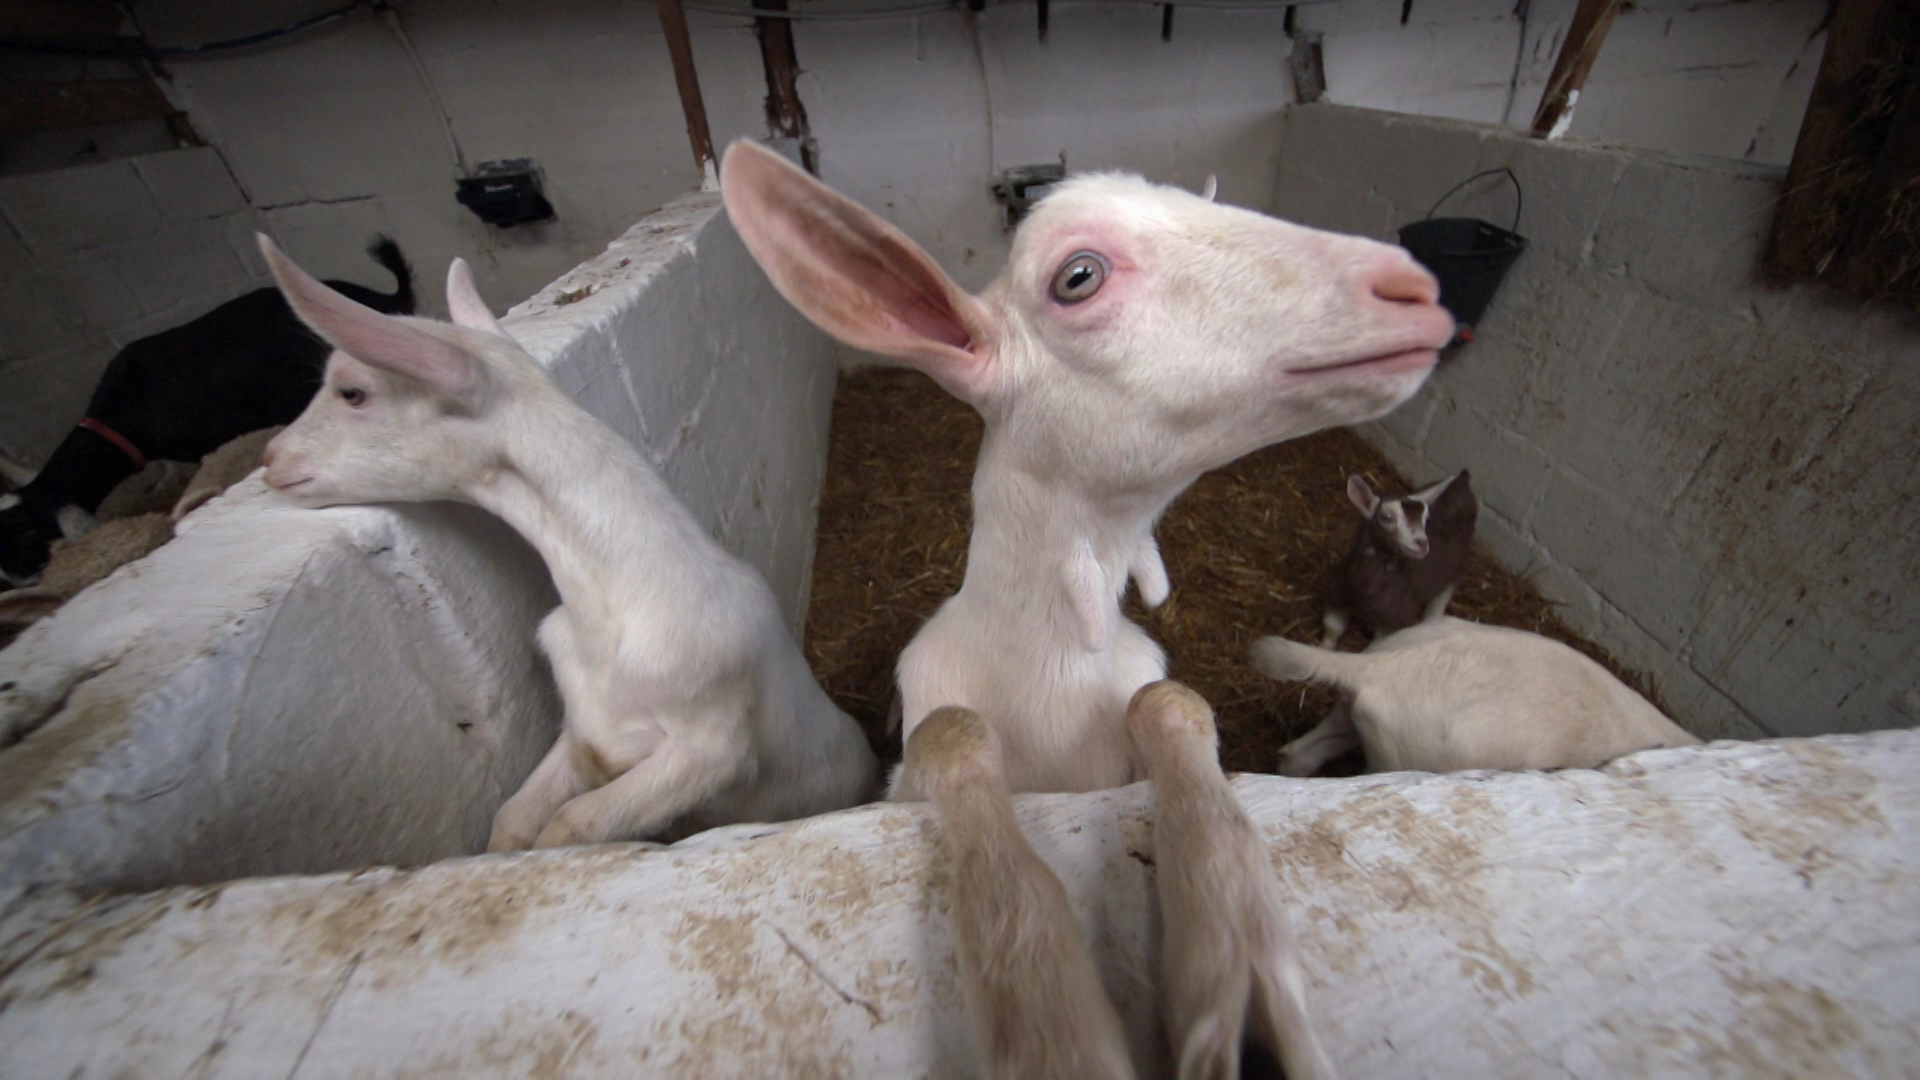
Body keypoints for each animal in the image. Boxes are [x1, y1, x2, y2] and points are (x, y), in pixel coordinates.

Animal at [256, 237, 877, 849]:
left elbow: (573, 824)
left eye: (352, 392)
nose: (271, 459)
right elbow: (514, 819)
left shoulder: (712, 747)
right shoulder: (583, 733)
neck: (618, 609)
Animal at [1320, 470, 1476, 647]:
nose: (1422, 543)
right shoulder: (1337, 591)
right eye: (1386, 517)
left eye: (1426, 520)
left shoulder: (1395, 616)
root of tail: (1463, 481)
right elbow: (1332, 629)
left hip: (1457, 565)